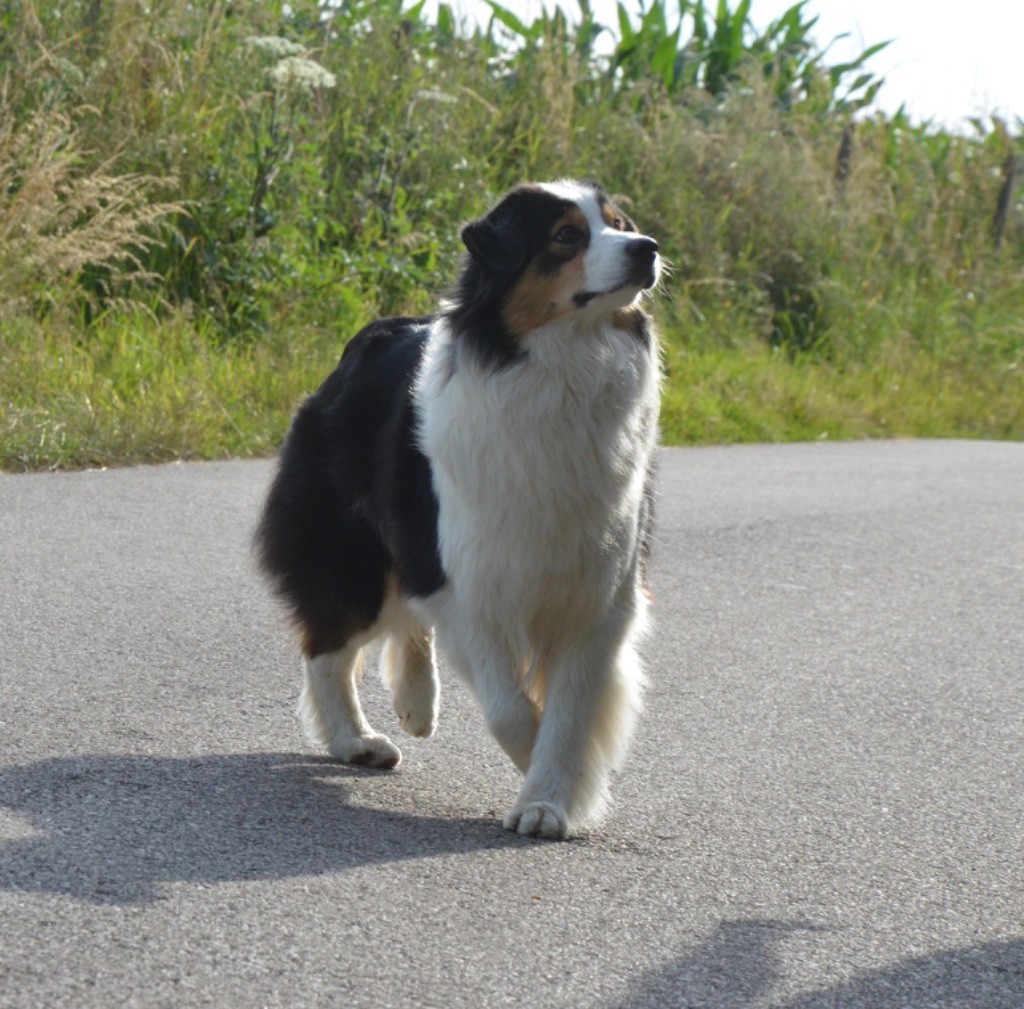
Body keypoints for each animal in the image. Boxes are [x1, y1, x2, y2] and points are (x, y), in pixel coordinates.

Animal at [256, 179, 663, 835]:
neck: (560, 362)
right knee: (326, 647)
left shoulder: (597, 593)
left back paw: (414, 705)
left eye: (620, 224)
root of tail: (367, 337)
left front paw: (551, 799)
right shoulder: (469, 582)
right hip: (354, 554)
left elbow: (570, 713)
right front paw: (552, 783)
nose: (647, 248)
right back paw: (356, 740)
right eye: (566, 235)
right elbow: (509, 709)